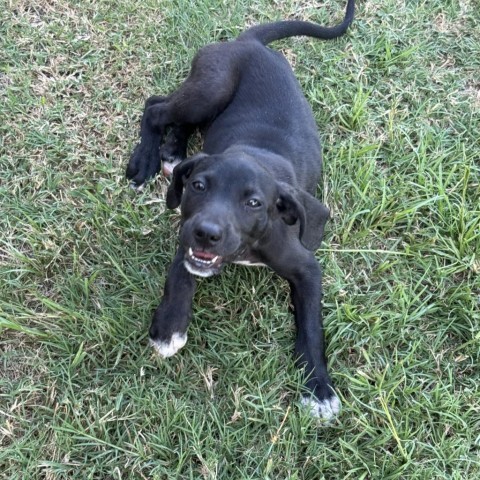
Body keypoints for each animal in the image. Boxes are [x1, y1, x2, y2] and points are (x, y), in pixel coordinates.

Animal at [125, 0, 354, 420]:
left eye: (254, 203)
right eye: (198, 187)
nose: (207, 234)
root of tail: (248, 43)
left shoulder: (306, 267)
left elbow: (311, 326)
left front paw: (318, 388)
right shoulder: (186, 232)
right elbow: (179, 276)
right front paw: (169, 327)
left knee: (168, 113)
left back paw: (172, 151)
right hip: (210, 88)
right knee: (155, 107)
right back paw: (148, 158)